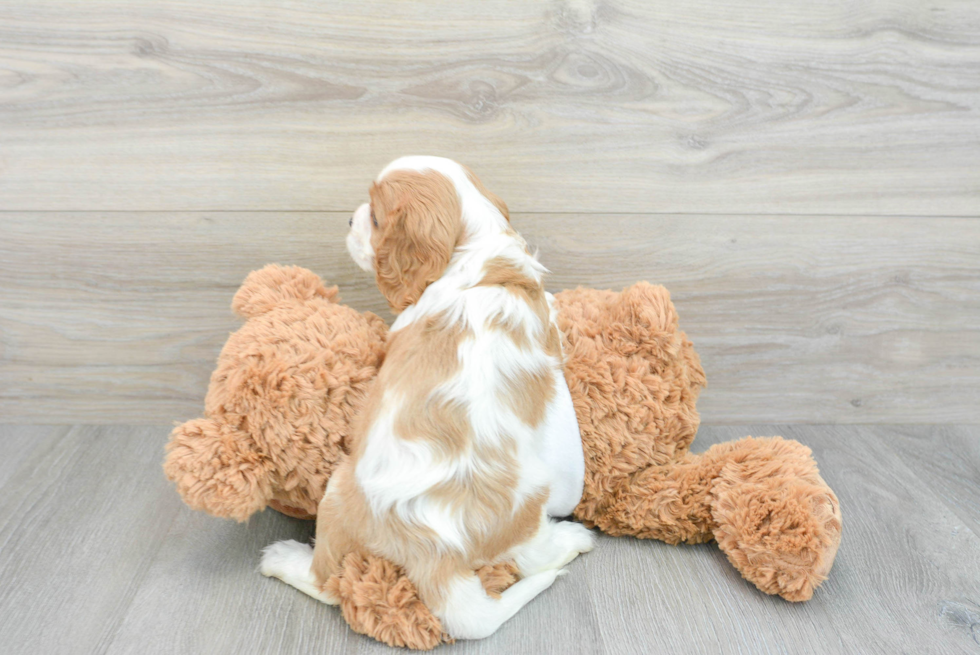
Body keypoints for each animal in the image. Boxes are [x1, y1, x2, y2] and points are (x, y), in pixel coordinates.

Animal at [260, 156, 592, 640]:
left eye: (376, 219)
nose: (349, 219)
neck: (480, 258)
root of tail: (436, 553)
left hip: (337, 493)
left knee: (329, 581)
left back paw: (284, 559)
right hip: (528, 500)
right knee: (532, 555)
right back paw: (573, 540)